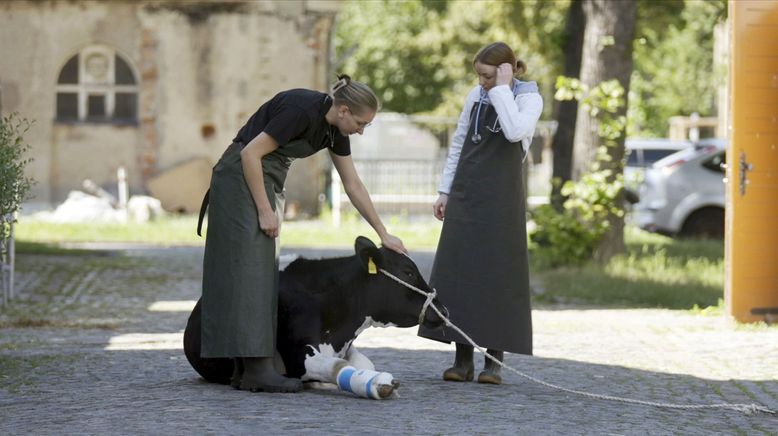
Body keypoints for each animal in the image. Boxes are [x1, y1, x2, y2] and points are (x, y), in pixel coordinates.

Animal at [183, 237, 448, 400]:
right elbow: (335, 366)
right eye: (408, 272)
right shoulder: (297, 354)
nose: (444, 310)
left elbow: (364, 364)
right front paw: (373, 384)